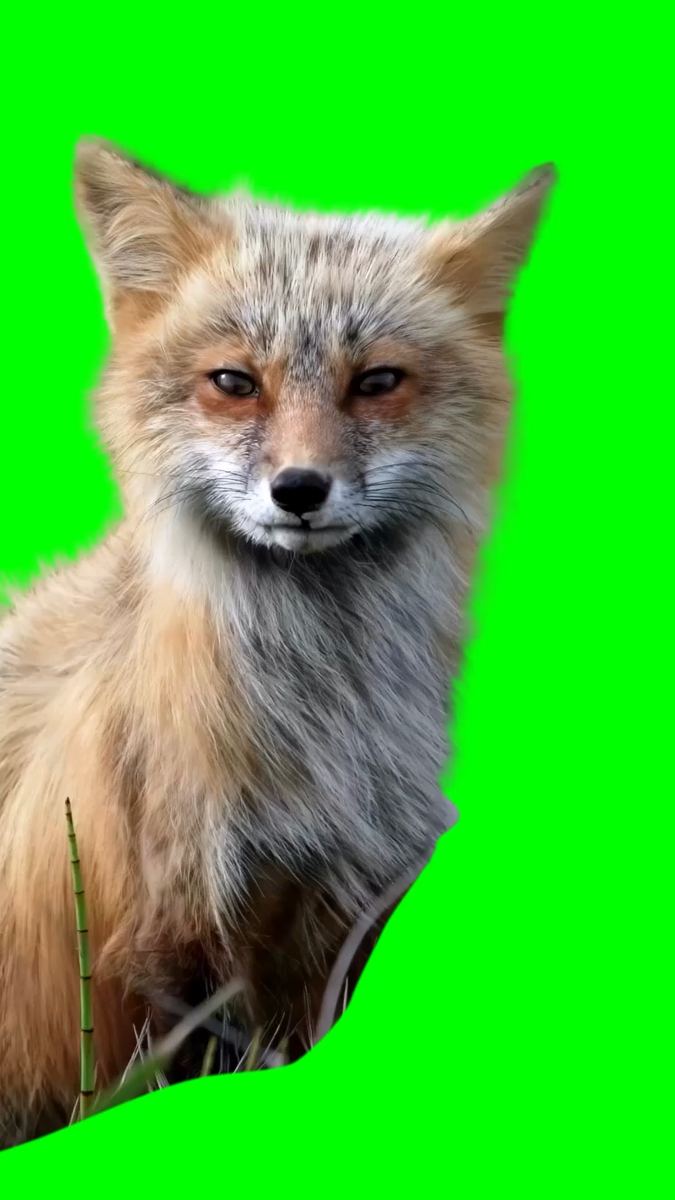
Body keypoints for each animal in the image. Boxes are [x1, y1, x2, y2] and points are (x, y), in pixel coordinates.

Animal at [0, 140, 555, 1145]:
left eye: (375, 381)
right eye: (233, 381)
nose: (299, 489)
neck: (315, 729)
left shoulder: (343, 902)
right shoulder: (166, 925)